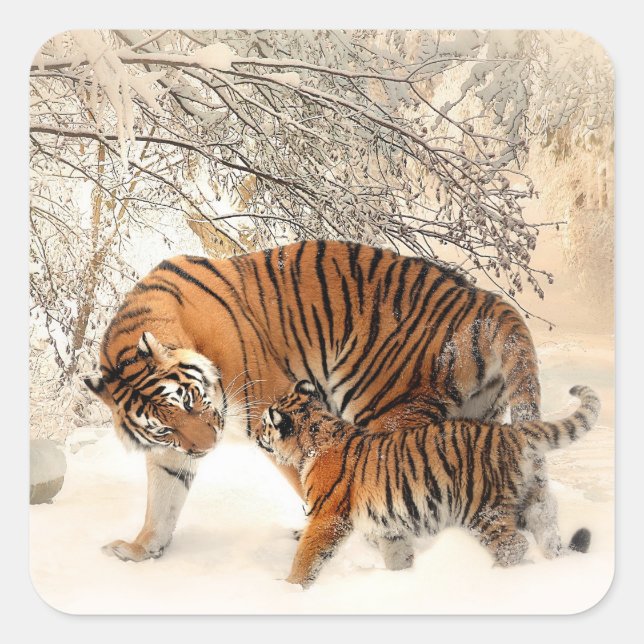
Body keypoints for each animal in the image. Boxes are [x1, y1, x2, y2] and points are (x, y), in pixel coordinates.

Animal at [84, 239, 552, 565]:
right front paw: (141, 550)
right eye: (164, 426)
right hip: (476, 418)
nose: (207, 447)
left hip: (384, 408)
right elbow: (162, 500)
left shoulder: (274, 409)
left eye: (191, 400)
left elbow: (312, 480)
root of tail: (486, 300)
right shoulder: (170, 451)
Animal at [256, 380, 600, 588]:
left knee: (513, 545)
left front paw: (289, 589)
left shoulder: (327, 517)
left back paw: (494, 578)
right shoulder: (389, 526)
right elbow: (397, 555)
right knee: (548, 531)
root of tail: (512, 432)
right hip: (533, 501)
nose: (257, 434)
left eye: (264, 423)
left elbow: (307, 555)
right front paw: (403, 580)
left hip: (482, 509)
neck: (314, 439)